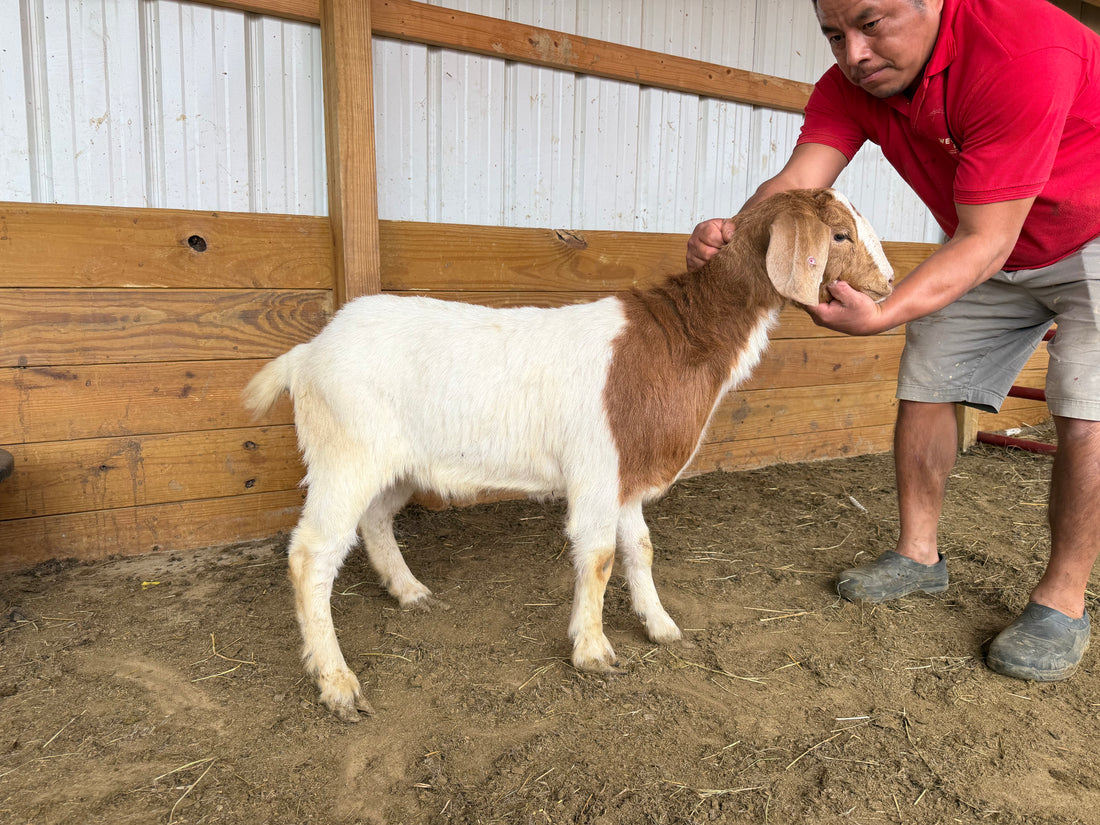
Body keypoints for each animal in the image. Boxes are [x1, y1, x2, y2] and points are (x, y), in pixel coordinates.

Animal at [243, 188, 894, 722]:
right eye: (840, 235)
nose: (887, 285)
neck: (679, 341)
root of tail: (307, 354)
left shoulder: (629, 472)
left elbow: (639, 548)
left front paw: (660, 625)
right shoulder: (599, 470)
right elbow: (599, 555)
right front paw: (593, 649)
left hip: (394, 464)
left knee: (376, 520)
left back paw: (408, 592)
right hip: (346, 455)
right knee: (311, 555)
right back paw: (336, 683)